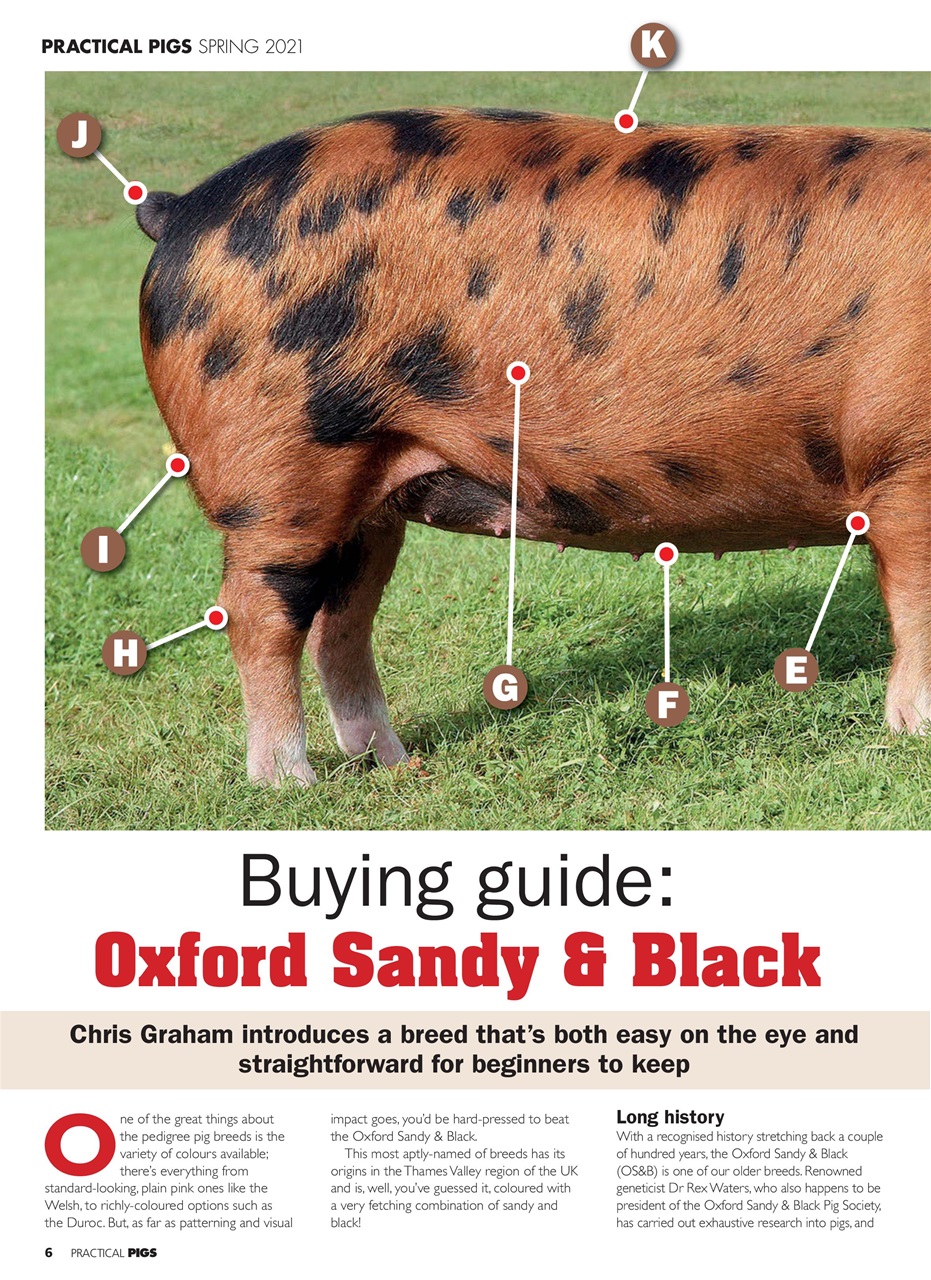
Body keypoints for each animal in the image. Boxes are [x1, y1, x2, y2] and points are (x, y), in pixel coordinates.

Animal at [135, 109, 931, 783]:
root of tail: (183, 209)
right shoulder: (903, 460)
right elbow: (915, 601)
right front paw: (914, 734)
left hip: (372, 493)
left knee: (341, 621)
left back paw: (394, 764)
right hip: (278, 465)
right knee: (259, 611)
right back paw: (289, 783)